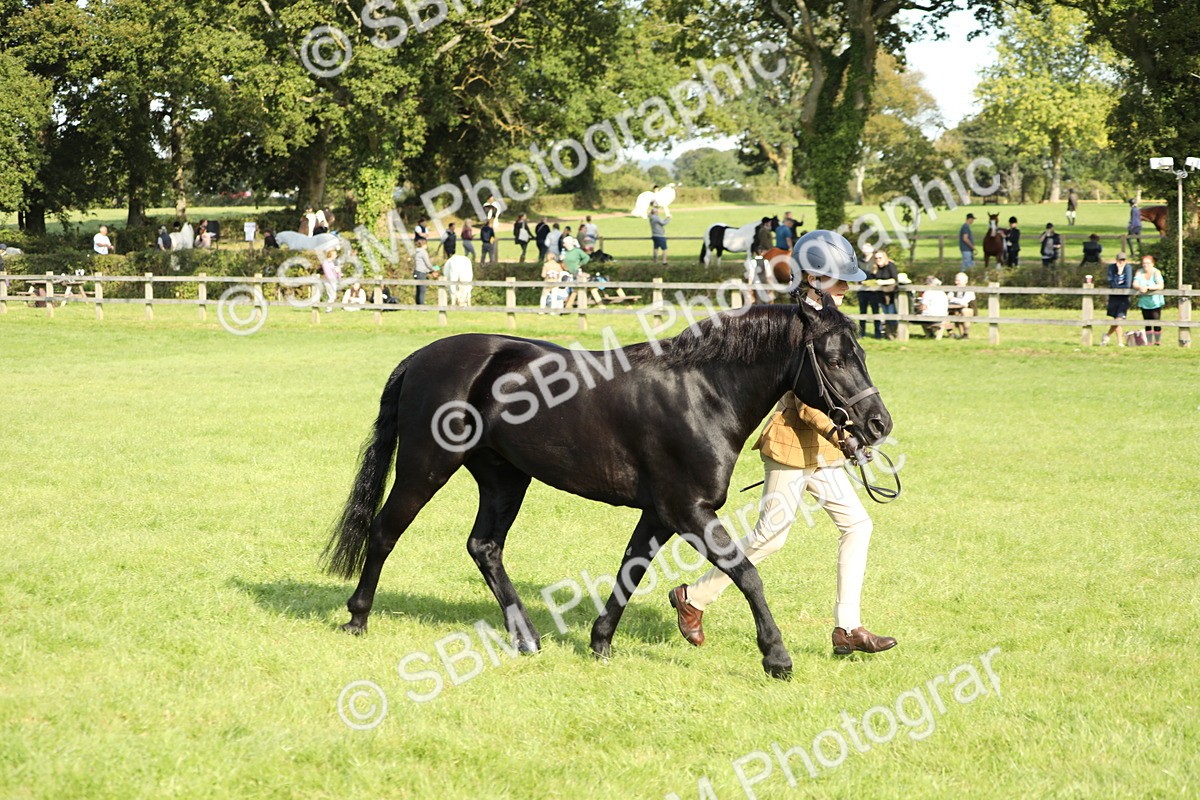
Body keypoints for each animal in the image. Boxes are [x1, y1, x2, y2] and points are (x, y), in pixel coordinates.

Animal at [323, 302, 893, 678]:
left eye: (862, 353)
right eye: (835, 358)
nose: (878, 423)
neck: (703, 392)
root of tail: (422, 357)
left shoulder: (660, 515)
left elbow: (630, 571)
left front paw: (600, 642)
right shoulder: (688, 511)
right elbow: (747, 573)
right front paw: (776, 657)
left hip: (505, 477)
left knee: (483, 547)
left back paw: (526, 637)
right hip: (426, 466)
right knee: (384, 531)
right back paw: (357, 617)